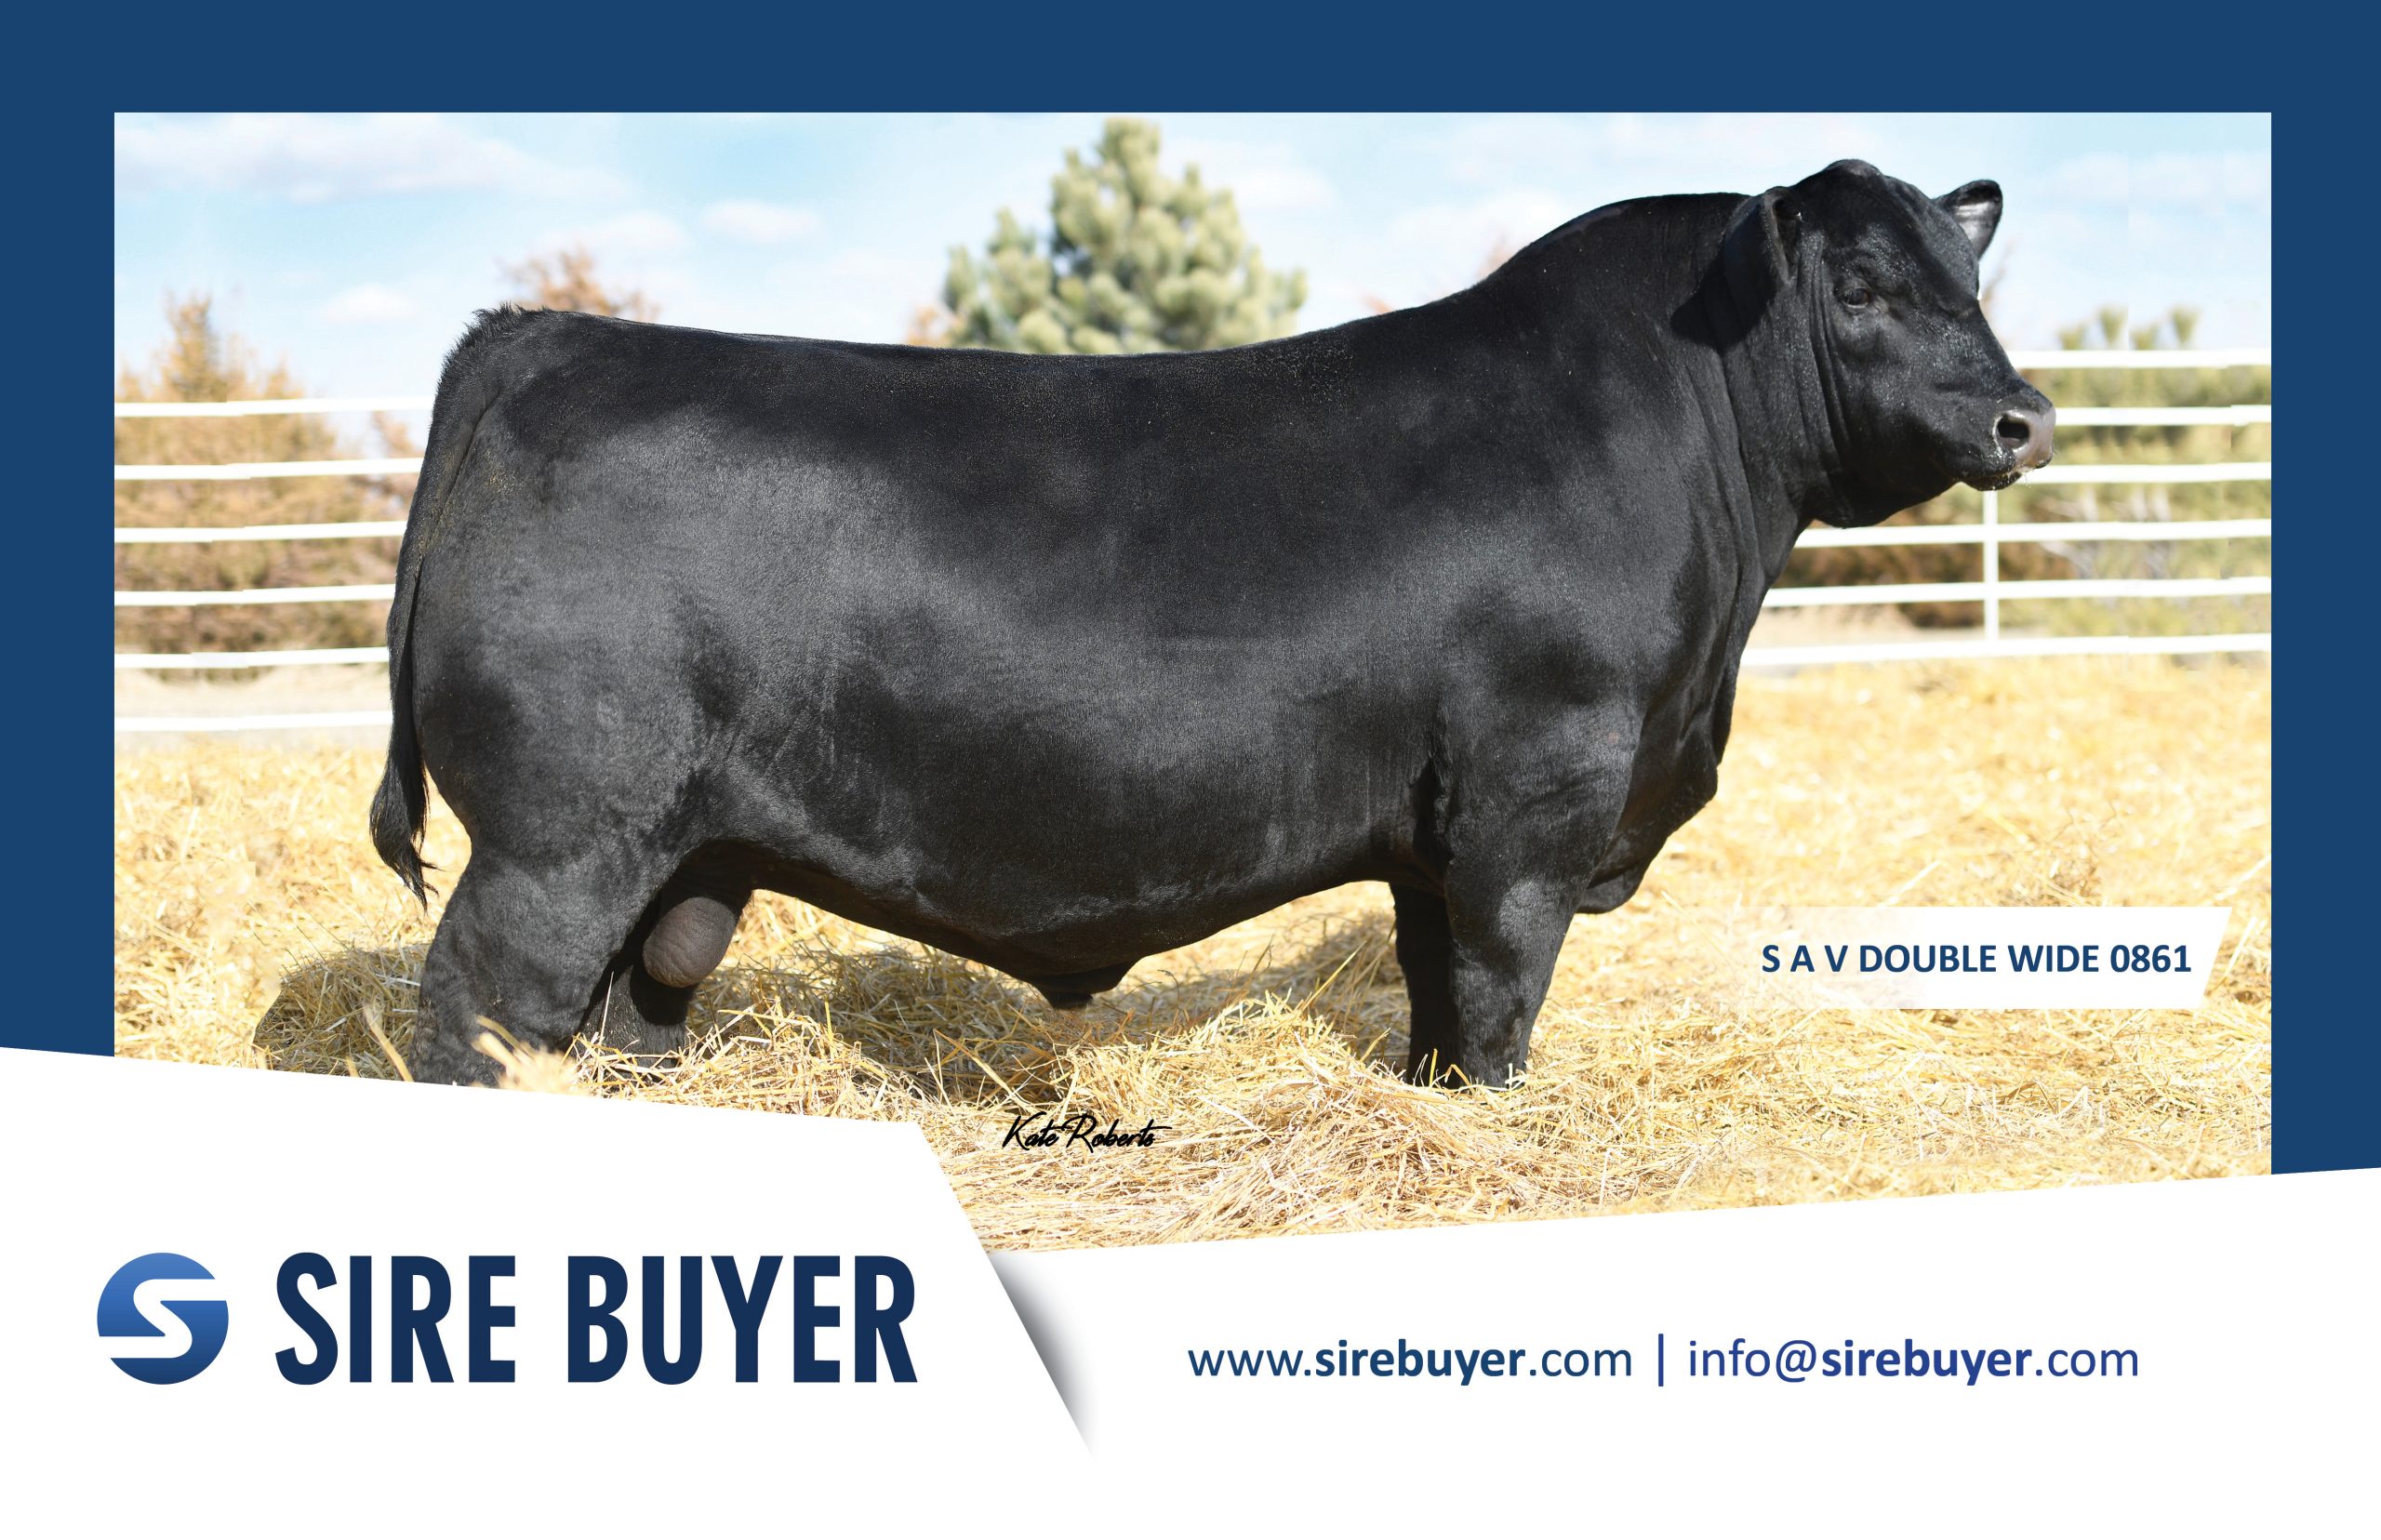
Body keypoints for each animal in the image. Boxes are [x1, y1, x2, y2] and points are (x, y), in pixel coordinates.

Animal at [370, 159, 2053, 1089]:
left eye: (1968, 277)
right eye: (1860, 284)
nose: (2024, 415)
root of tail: (543, 342)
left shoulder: (1438, 831)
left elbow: (1437, 998)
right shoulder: (1536, 797)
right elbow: (1503, 991)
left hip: (683, 854)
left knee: (628, 1005)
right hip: (557, 838)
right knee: (479, 1008)